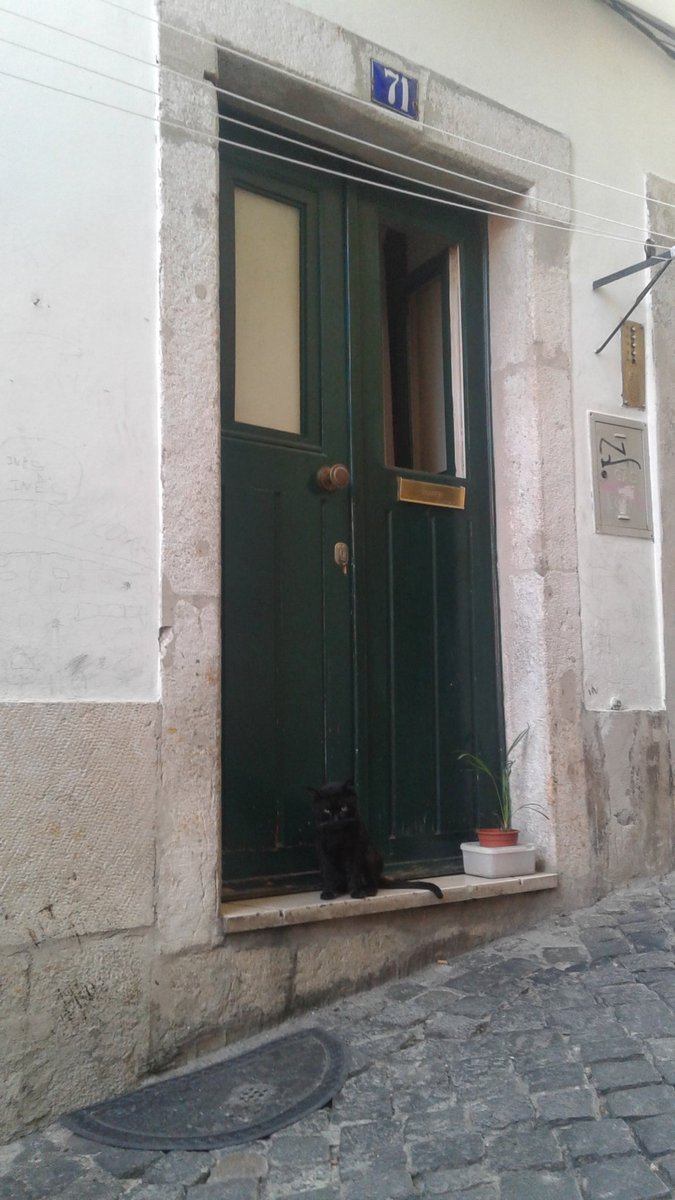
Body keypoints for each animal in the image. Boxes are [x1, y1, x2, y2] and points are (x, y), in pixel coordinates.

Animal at [309, 777, 444, 902]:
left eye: (343, 808)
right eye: (326, 810)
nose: (336, 819)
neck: (337, 834)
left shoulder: (355, 848)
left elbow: (354, 870)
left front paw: (356, 891)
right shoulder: (323, 851)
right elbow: (328, 872)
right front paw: (328, 892)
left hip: (370, 854)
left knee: (373, 882)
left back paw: (368, 890)